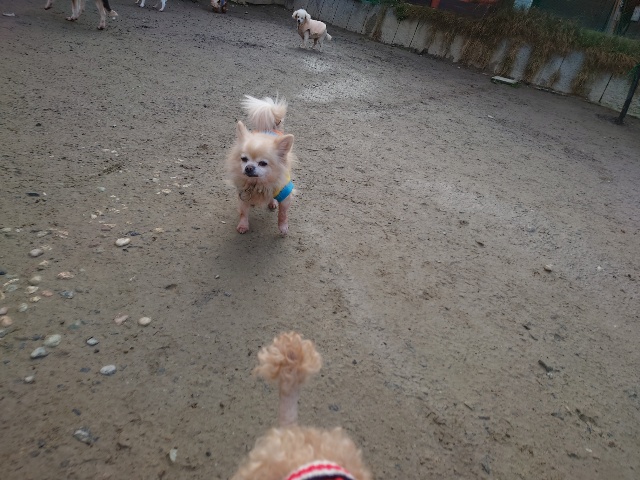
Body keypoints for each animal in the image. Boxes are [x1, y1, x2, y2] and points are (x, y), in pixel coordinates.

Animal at [226, 95, 295, 235]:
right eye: (244, 159)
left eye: (263, 163)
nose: (249, 167)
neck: (258, 184)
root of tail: (270, 128)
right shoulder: (243, 194)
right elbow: (243, 212)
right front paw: (243, 225)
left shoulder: (285, 195)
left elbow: (283, 214)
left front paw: (283, 227)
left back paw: (272, 202)